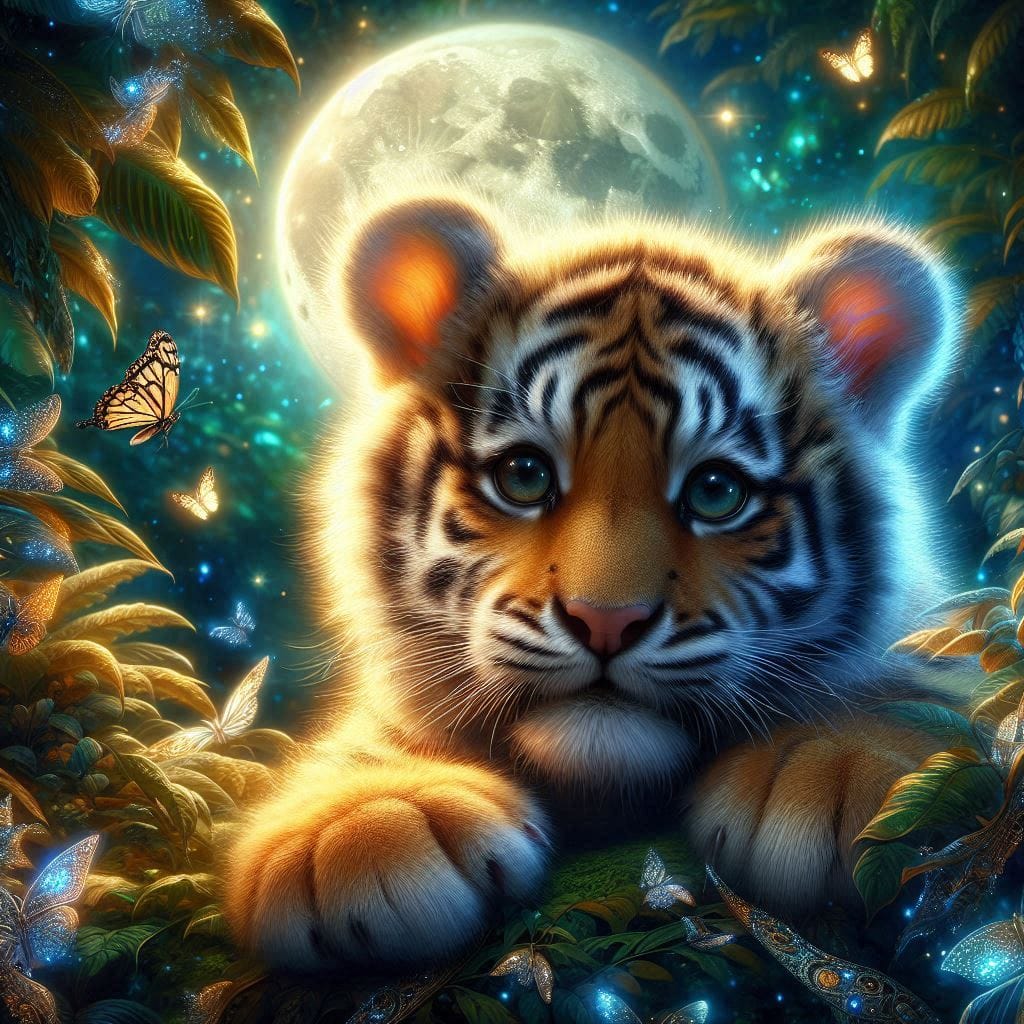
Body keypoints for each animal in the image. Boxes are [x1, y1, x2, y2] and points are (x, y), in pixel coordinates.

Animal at [225, 192, 961, 971]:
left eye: (717, 492)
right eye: (523, 476)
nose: (606, 620)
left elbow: (915, 689)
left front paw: (845, 769)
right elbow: (370, 734)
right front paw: (362, 824)